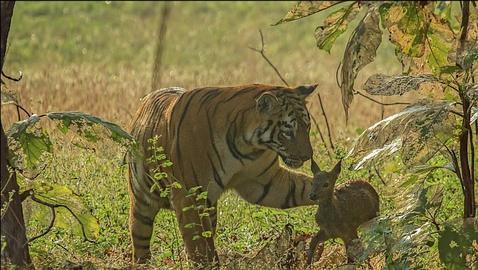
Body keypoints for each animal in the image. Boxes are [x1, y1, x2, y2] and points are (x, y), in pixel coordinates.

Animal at [129, 83, 320, 266]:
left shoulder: (266, 183)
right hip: (142, 202)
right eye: (287, 132)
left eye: (307, 126)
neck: (248, 146)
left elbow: (302, 188)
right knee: (140, 239)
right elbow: (200, 247)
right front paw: (206, 264)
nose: (307, 156)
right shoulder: (190, 197)